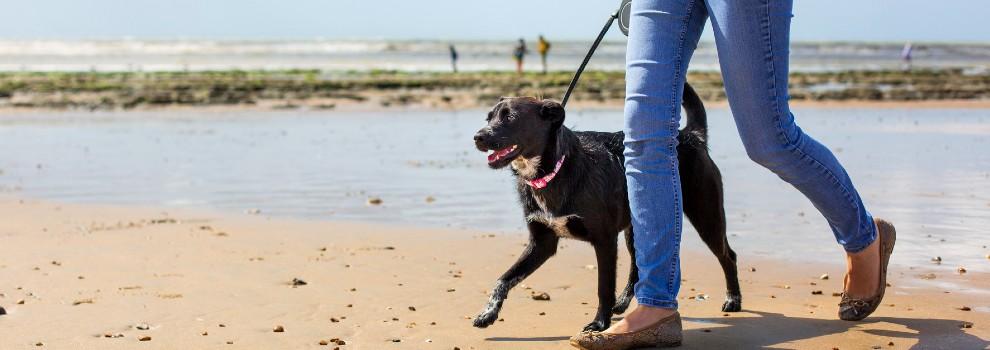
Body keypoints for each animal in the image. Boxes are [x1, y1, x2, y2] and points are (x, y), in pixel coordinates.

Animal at [472, 83, 744, 332]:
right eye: (489, 117)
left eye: (510, 118)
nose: (478, 137)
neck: (554, 170)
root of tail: (691, 136)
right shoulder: (542, 243)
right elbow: (503, 279)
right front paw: (488, 312)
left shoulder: (604, 240)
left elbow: (604, 286)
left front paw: (599, 324)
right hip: (638, 227)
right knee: (638, 267)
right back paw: (623, 303)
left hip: (706, 215)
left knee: (728, 255)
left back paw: (733, 299)